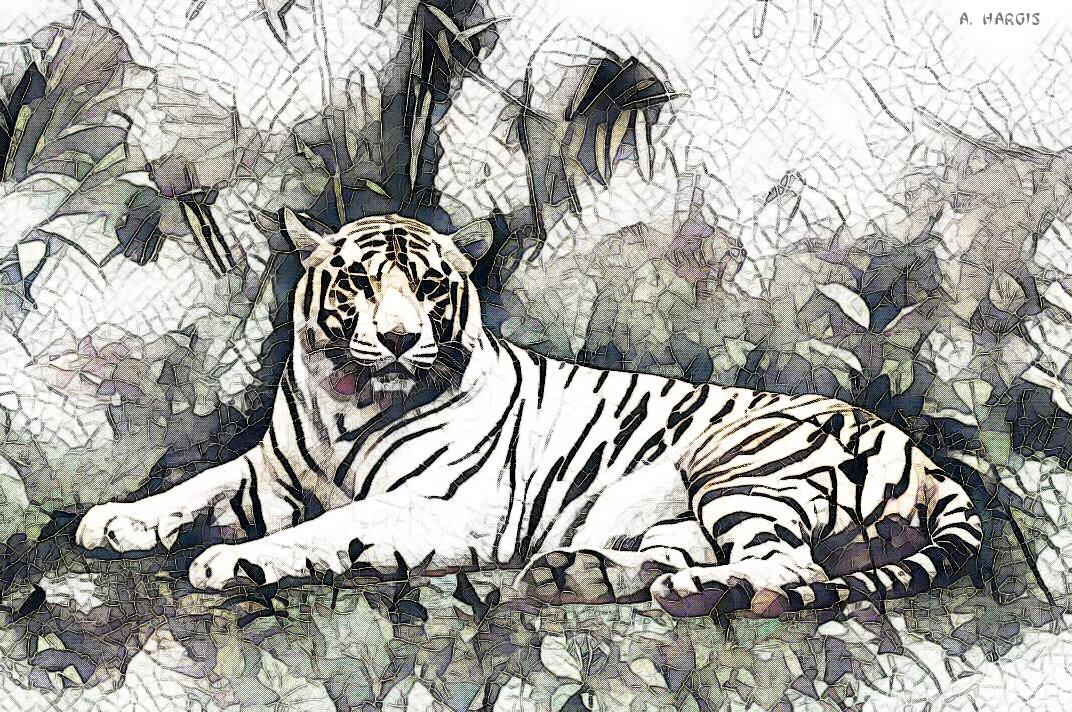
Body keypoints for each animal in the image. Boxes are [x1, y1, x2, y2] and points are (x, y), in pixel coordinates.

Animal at [76, 210, 983, 618]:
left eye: (429, 286)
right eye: (360, 282)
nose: (399, 338)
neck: (349, 401)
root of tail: (920, 453)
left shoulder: (444, 504)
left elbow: (330, 528)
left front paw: (235, 562)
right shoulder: (272, 469)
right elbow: (198, 483)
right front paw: (118, 519)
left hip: (740, 470)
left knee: (791, 569)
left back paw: (690, 591)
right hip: (676, 510)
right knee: (681, 555)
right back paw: (576, 573)